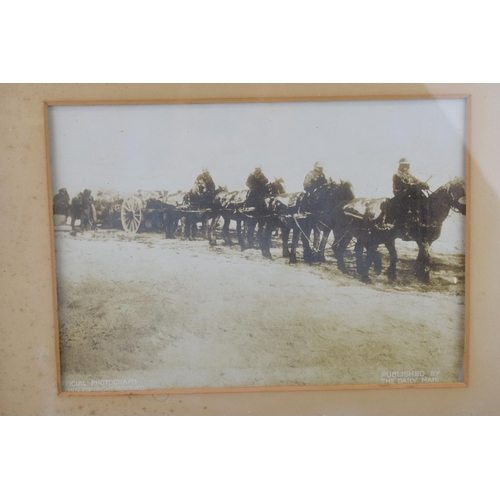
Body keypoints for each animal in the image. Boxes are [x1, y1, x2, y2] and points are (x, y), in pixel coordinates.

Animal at [332, 179, 464, 282]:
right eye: (461, 190)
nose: (465, 210)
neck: (428, 212)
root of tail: (345, 204)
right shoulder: (422, 240)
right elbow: (426, 256)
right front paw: (424, 276)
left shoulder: (425, 241)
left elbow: (421, 256)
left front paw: (417, 272)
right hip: (349, 233)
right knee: (344, 247)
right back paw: (347, 268)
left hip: (354, 234)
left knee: (351, 248)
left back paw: (350, 268)